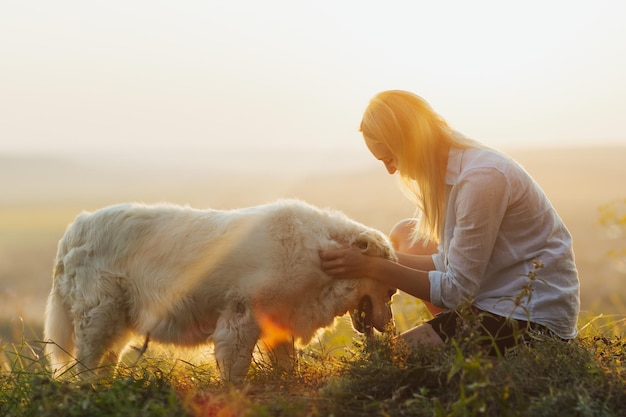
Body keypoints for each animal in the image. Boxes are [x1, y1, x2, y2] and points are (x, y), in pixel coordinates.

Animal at [44, 200, 394, 378]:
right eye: (390, 292)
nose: (389, 324)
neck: (319, 252)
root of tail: (77, 226)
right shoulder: (239, 321)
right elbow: (235, 375)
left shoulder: (278, 325)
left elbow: (287, 369)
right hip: (99, 318)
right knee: (84, 369)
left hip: (117, 324)